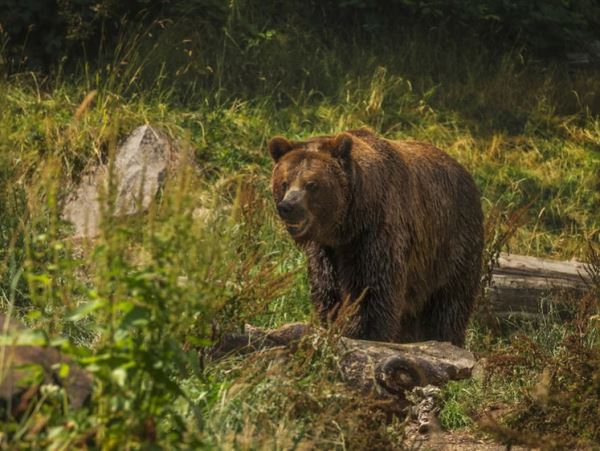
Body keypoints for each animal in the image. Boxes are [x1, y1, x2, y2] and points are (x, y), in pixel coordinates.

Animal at [270, 128, 486, 346]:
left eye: (312, 184)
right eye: (284, 182)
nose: (288, 206)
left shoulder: (376, 233)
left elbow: (371, 289)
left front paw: (360, 332)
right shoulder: (326, 249)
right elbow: (327, 288)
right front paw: (331, 321)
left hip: (452, 245)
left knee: (449, 303)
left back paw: (445, 338)